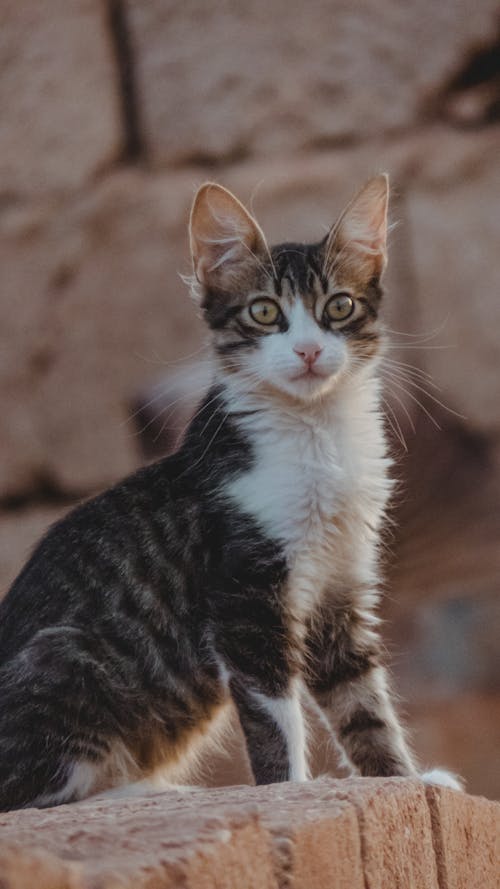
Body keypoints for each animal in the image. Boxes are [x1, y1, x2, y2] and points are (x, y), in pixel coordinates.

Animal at [0, 175, 458, 812]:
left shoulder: (340, 585)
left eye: (338, 307)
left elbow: (364, 705)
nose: (308, 351)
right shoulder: (245, 595)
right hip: (64, 657)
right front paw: (291, 790)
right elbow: (275, 719)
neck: (317, 437)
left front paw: (406, 780)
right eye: (264, 312)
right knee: (37, 796)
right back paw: (147, 790)